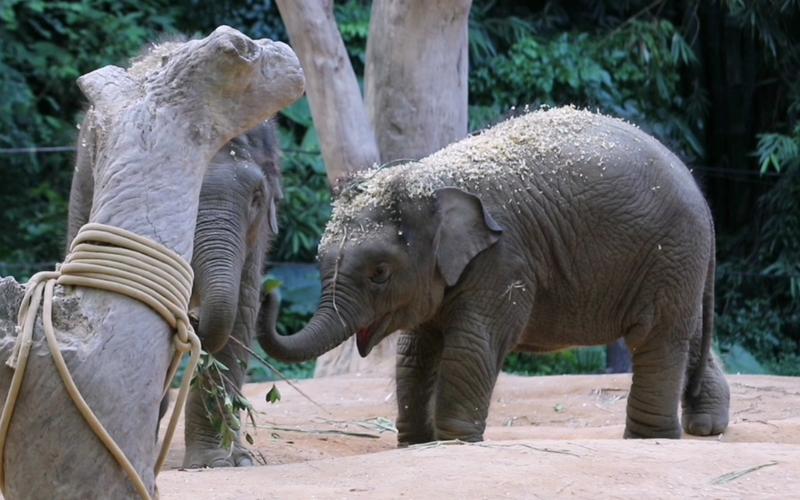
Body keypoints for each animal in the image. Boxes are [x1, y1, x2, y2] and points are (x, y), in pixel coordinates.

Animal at [258, 106, 732, 446]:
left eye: (379, 273)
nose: (269, 291)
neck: (427, 180)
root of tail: (700, 192)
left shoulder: (504, 258)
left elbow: (472, 343)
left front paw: (454, 441)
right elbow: (416, 351)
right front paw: (415, 443)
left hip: (671, 251)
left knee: (657, 335)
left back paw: (650, 438)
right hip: (677, 261)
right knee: (688, 332)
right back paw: (706, 428)